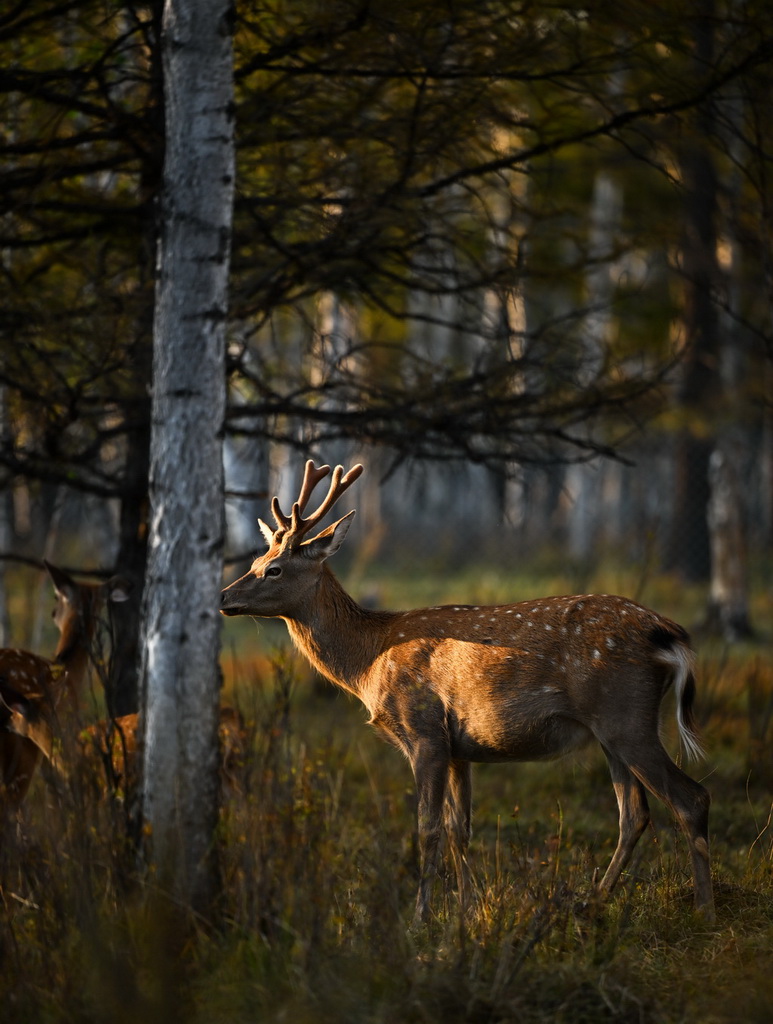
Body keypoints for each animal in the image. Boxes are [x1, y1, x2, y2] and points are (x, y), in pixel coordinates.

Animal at [220, 460, 714, 925]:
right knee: (634, 813)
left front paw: (420, 919)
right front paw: (467, 913)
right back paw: (591, 903)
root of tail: (666, 632)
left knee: (690, 799)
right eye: (254, 563)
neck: (369, 662)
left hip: (625, 716)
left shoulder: (424, 732)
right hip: (610, 730)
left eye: (272, 568)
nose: (224, 597)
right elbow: (461, 829)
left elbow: (428, 829)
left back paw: (702, 908)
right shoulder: (461, 747)